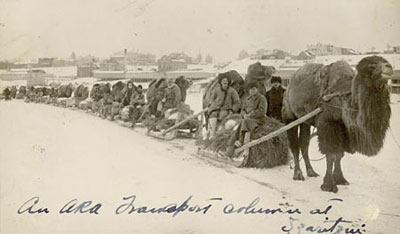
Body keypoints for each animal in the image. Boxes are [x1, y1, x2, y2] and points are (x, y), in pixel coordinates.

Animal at [284, 55, 394, 193]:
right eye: (372, 66)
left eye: (385, 61)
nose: (389, 67)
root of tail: (289, 85)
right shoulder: (328, 123)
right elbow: (331, 154)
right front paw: (329, 185)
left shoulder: (344, 128)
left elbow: (340, 155)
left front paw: (340, 179)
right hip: (290, 115)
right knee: (294, 145)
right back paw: (298, 174)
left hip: (305, 120)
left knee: (304, 143)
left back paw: (311, 172)